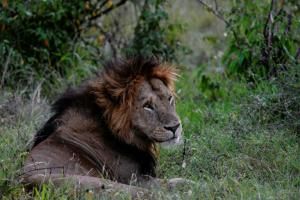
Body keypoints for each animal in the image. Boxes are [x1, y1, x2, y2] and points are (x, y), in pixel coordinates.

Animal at [22, 56, 188, 197]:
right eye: (147, 106)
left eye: (169, 98)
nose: (175, 127)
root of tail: (28, 184)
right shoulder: (136, 178)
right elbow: (172, 183)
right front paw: (192, 183)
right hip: (104, 183)